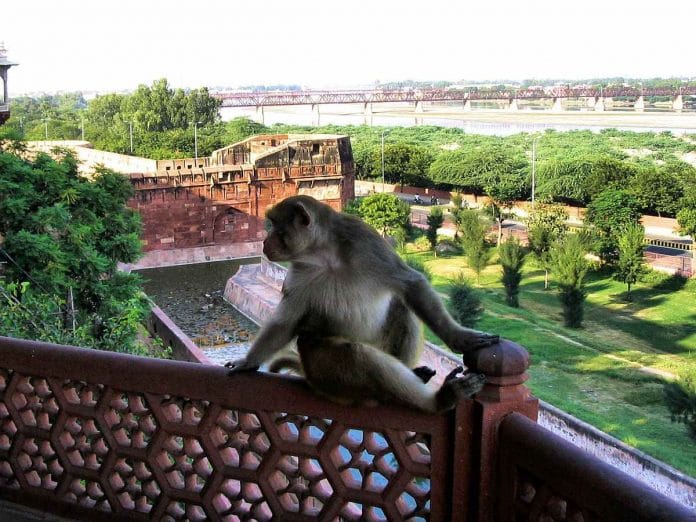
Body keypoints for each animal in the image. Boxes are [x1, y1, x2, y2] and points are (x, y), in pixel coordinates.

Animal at [226, 195, 498, 411]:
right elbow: (286, 323)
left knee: (401, 306)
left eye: (275, 227)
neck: (324, 254)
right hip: (332, 379)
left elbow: (411, 283)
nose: (264, 242)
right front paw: (247, 361)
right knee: (344, 350)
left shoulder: (366, 241)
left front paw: (459, 338)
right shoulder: (299, 272)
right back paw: (439, 400)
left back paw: (418, 379)